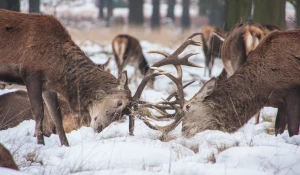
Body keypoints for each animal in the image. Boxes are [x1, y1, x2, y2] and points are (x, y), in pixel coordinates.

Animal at [0, 9, 131, 146]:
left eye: (125, 112)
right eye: (119, 103)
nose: (99, 128)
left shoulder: (48, 85)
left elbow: (57, 116)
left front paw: (65, 145)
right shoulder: (30, 74)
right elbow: (38, 113)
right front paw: (40, 144)